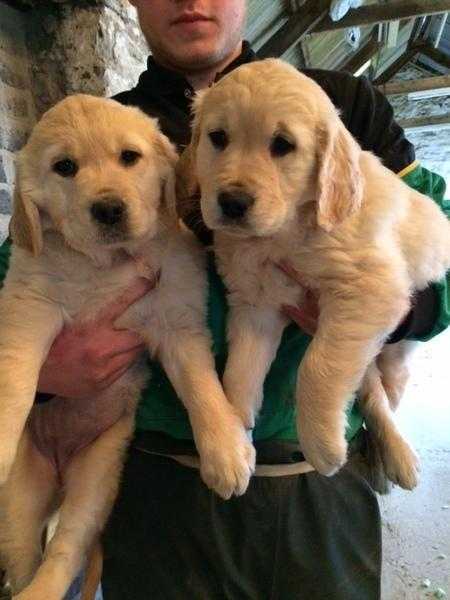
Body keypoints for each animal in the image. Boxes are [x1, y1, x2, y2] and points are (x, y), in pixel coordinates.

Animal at [0, 95, 253, 600]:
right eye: (64, 167)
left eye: (129, 158)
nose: (109, 209)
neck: (106, 266)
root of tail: (60, 472)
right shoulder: (28, 306)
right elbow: (15, 377)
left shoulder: (175, 319)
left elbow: (201, 387)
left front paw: (225, 451)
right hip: (19, 497)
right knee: (26, 558)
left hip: (99, 473)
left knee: (66, 548)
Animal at [177, 58, 450, 492]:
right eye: (218, 138)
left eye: (282, 145)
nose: (232, 202)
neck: (285, 231)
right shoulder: (256, 303)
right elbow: (239, 372)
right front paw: (234, 434)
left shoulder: (368, 289)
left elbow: (317, 367)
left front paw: (322, 445)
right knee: (368, 388)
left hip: (397, 349)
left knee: (384, 392)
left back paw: (393, 454)